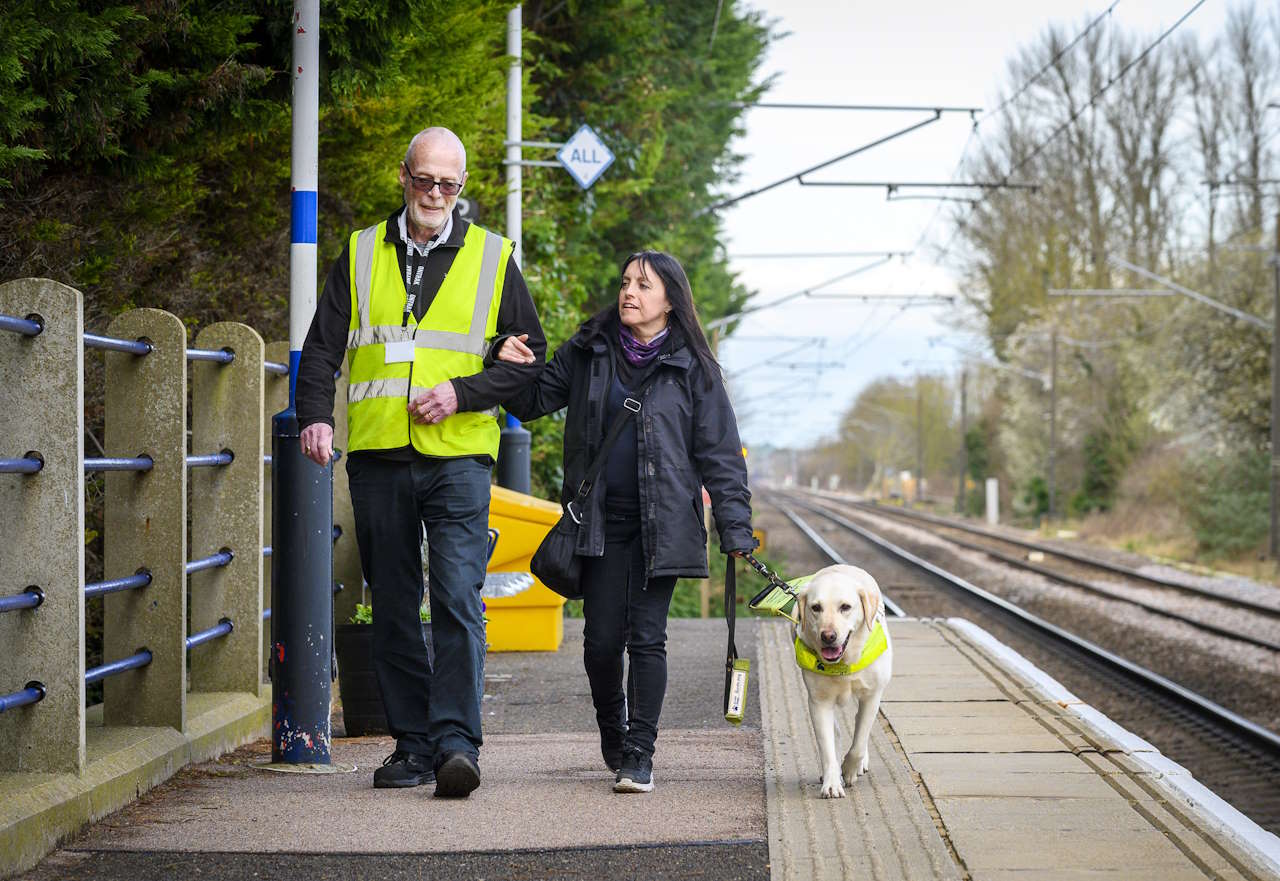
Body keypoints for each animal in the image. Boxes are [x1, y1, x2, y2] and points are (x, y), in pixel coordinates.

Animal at [788, 563, 890, 799]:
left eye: (845, 607)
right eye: (816, 608)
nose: (828, 636)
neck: (843, 664)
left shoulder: (872, 696)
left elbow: (859, 743)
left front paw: (850, 769)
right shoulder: (819, 702)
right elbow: (827, 746)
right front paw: (832, 783)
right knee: (836, 732)